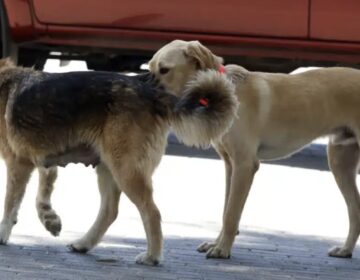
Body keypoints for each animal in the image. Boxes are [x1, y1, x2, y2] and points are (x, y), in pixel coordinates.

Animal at [0, 59, 238, 264]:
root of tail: (152, 93)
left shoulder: (18, 164)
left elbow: (10, 204)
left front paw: (3, 234)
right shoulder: (41, 161)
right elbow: (42, 190)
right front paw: (49, 219)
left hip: (125, 171)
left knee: (151, 212)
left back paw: (152, 256)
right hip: (108, 168)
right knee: (110, 211)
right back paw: (84, 244)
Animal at [148, 39, 360, 260]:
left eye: (164, 70)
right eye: (150, 69)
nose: (144, 93)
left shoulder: (245, 165)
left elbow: (232, 213)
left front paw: (222, 249)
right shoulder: (230, 165)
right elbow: (226, 209)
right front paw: (217, 243)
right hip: (340, 161)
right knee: (355, 210)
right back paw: (345, 249)